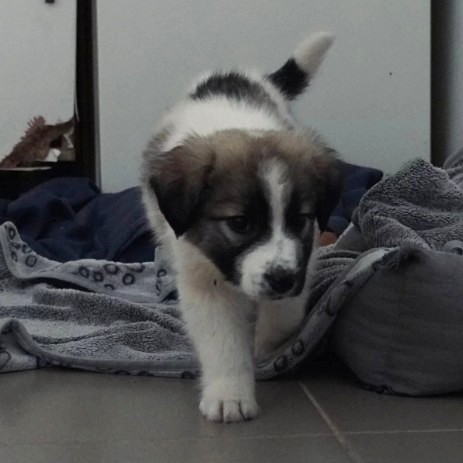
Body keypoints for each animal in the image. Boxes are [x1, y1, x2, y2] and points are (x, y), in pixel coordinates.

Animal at [140, 32, 340, 423]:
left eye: (299, 219)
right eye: (240, 223)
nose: (281, 280)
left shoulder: (303, 259)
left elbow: (284, 313)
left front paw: (270, 346)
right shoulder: (201, 275)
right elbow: (222, 341)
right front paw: (229, 394)